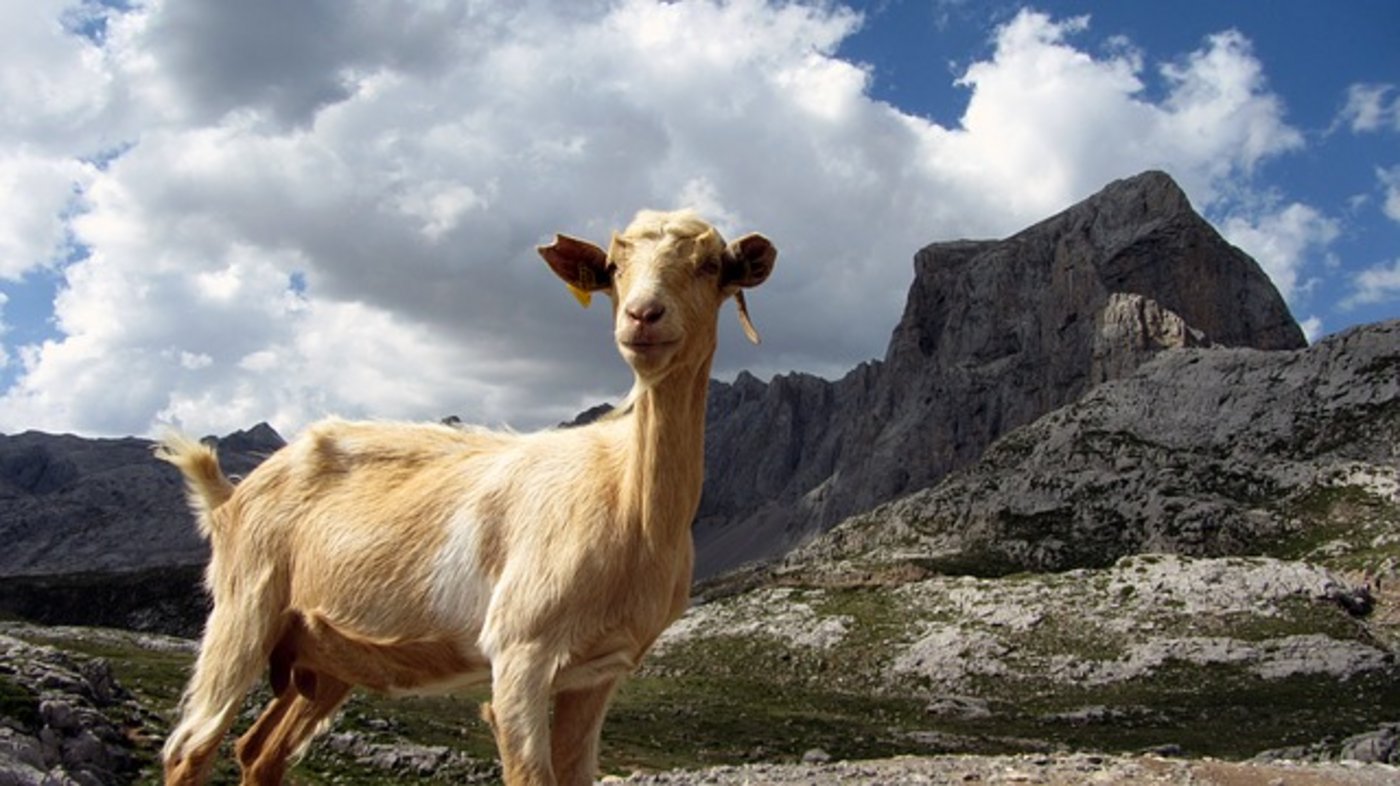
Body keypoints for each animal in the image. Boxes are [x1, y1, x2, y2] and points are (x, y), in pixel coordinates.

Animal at [155, 210, 775, 786]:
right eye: (614, 268)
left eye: (711, 265)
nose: (643, 317)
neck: (627, 498)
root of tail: (231, 495)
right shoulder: (520, 652)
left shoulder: (599, 672)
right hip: (244, 609)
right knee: (190, 749)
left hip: (325, 654)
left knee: (260, 752)